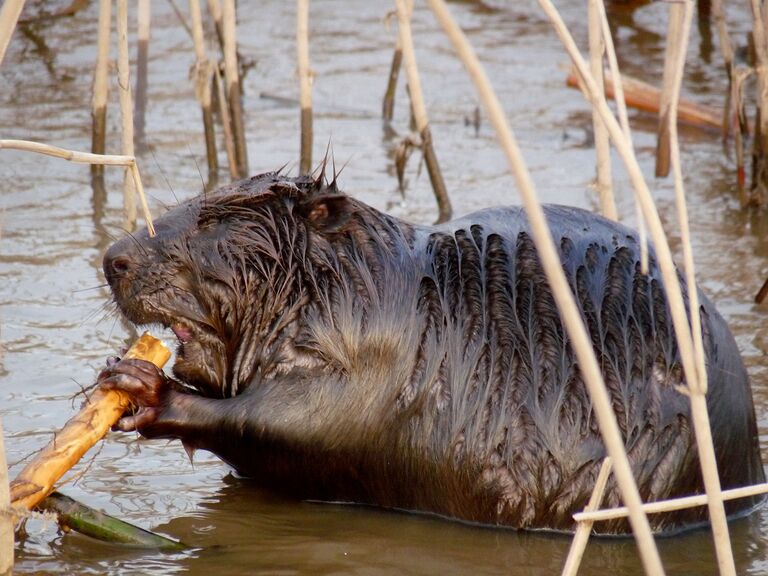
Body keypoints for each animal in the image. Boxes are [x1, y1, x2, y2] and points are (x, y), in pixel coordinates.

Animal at [100, 171, 760, 536]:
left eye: (211, 221)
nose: (114, 258)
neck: (362, 285)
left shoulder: (375, 355)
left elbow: (302, 424)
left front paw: (142, 387)